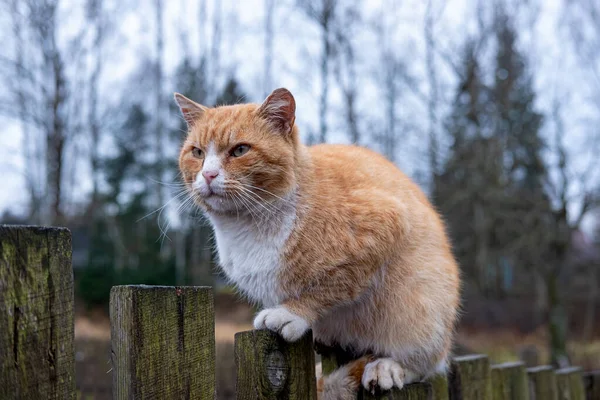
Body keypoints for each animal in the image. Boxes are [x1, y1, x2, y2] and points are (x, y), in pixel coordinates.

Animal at [176, 88, 462, 400]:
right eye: (197, 153)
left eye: (240, 150)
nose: (208, 175)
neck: (246, 227)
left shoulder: (385, 225)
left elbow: (330, 287)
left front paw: (291, 313)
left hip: (423, 312)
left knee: (426, 363)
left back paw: (386, 367)